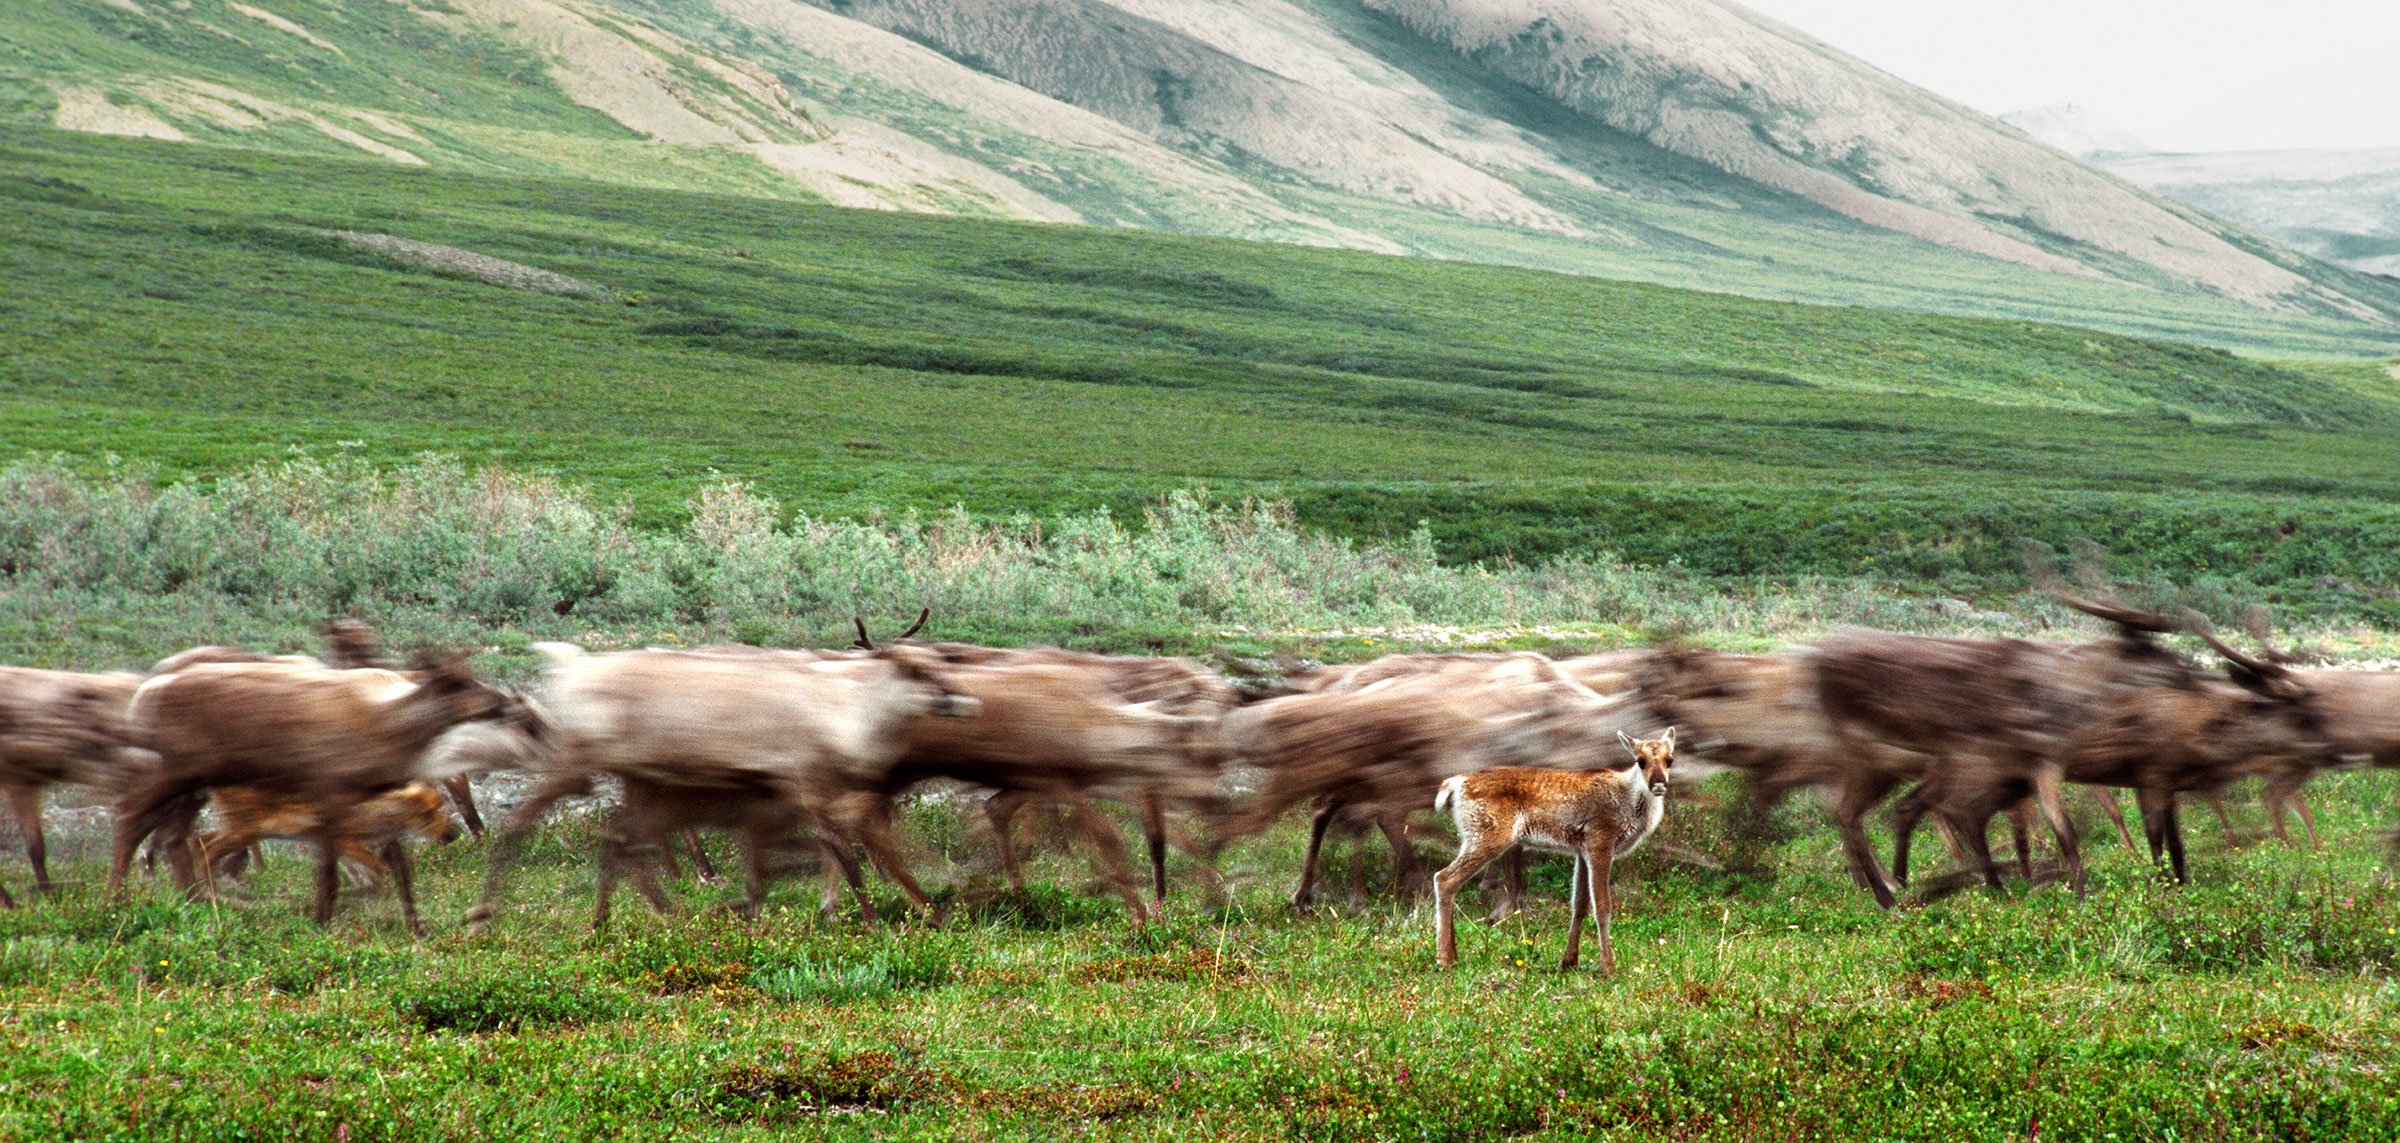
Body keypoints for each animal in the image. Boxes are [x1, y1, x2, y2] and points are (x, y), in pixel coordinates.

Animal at [1430, 729, 1680, 974]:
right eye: (1640, 761)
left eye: (1670, 760)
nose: (1659, 784)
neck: (1629, 803)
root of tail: (1456, 784)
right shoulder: (1600, 841)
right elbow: (1602, 906)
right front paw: (1608, 967)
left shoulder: (1582, 850)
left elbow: (1579, 905)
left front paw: (1569, 961)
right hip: (1486, 835)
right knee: (1444, 878)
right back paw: (1444, 958)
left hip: (1472, 836)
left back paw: (1453, 954)